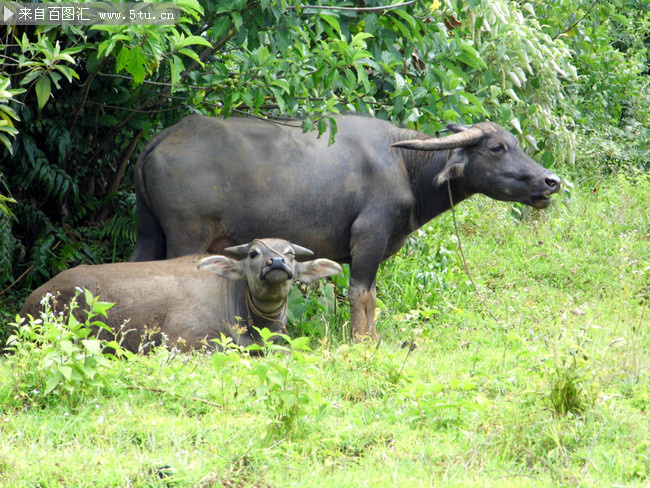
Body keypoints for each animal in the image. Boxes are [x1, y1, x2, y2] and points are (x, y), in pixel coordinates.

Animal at [129, 116, 560, 342]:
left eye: (515, 142)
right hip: (186, 235)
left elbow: (368, 296)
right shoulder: (368, 239)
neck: (404, 167)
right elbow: (361, 295)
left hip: (148, 233)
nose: (551, 181)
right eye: (497, 148)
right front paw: (362, 341)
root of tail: (162, 138)